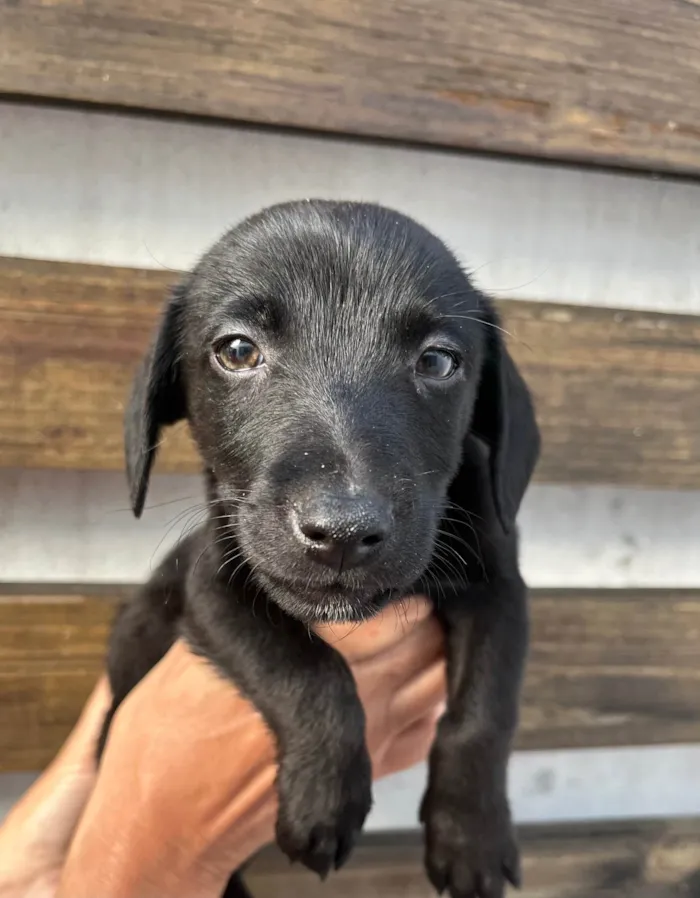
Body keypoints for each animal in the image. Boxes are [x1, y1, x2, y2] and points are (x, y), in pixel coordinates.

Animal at [98, 201, 540, 896]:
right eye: (237, 350)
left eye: (439, 362)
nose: (342, 532)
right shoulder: (214, 591)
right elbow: (306, 669)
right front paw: (324, 799)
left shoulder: (500, 590)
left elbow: (483, 711)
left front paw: (472, 836)